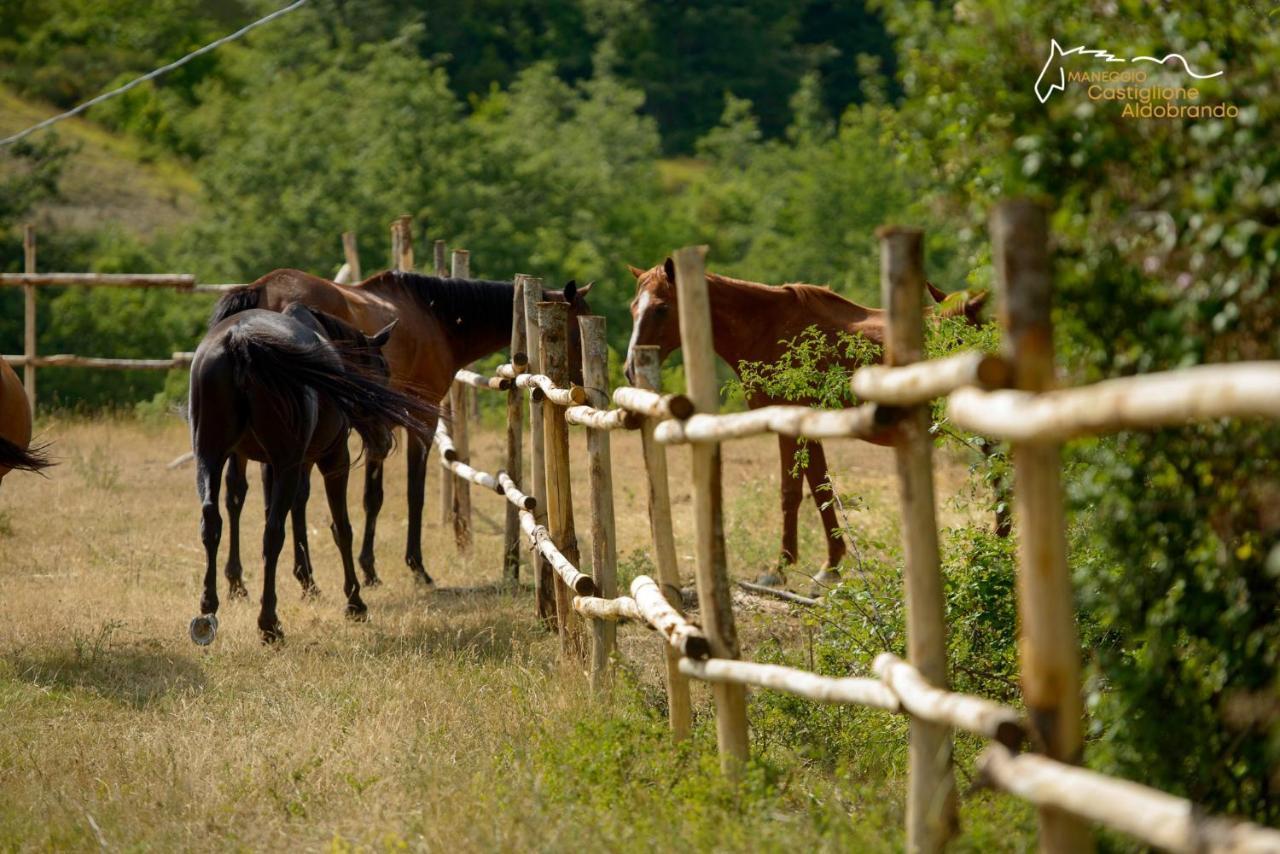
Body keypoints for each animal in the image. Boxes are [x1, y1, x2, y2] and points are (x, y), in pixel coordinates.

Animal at [207, 270, 591, 591]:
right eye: (573, 328)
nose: (582, 382)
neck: (436, 317)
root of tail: (259, 290)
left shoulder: (378, 428)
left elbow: (371, 496)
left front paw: (369, 569)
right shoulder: (420, 421)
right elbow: (412, 493)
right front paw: (415, 566)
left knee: (237, 493)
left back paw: (240, 580)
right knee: (291, 498)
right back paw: (303, 577)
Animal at [622, 261, 988, 588]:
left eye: (661, 308)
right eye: (633, 307)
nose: (628, 369)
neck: (769, 328)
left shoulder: (791, 426)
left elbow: (794, 492)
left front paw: (785, 568)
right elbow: (819, 489)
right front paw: (828, 565)